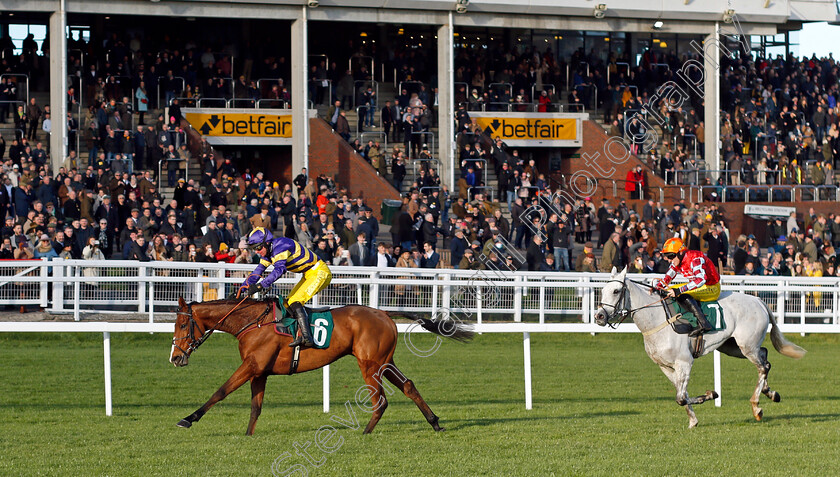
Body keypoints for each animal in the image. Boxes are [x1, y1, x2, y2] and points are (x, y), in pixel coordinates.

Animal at [171, 298, 472, 436]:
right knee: (407, 385)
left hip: (370, 364)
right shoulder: (259, 371)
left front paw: (187, 419)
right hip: (385, 361)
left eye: (183, 324)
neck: (252, 322)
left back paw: (365, 432)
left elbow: (220, 392)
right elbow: (255, 408)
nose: (175, 358)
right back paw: (435, 423)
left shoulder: (251, 365)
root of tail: (384, 312)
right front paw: (247, 436)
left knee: (380, 399)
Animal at [592, 266, 804, 426]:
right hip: (733, 347)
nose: (599, 316)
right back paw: (771, 393)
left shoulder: (684, 362)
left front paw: (710, 395)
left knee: (762, 366)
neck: (657, 319)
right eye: (602, 290)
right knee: (765, 358)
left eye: (616, 291)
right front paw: (693, 419)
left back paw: (756, 406)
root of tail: (758, 300)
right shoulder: (665, 366)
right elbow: (682, 393)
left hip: (747, 346)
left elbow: (680, 397)